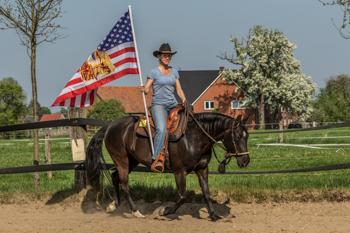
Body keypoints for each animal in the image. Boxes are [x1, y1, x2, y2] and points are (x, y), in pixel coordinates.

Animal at [86, 112, 250, 219]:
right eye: (237, 136)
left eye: (247, 136)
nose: (245, 161)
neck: (194, 137)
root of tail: (109, 126)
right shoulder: (179, 172)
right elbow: (182, 197)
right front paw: (163, 211)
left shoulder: (202, 169)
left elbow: (207, 193)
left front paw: (214, 215)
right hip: (122, 161)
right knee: (124, 186)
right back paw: (136, 212)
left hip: (131, 161)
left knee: (115, 178)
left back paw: (113, 206)